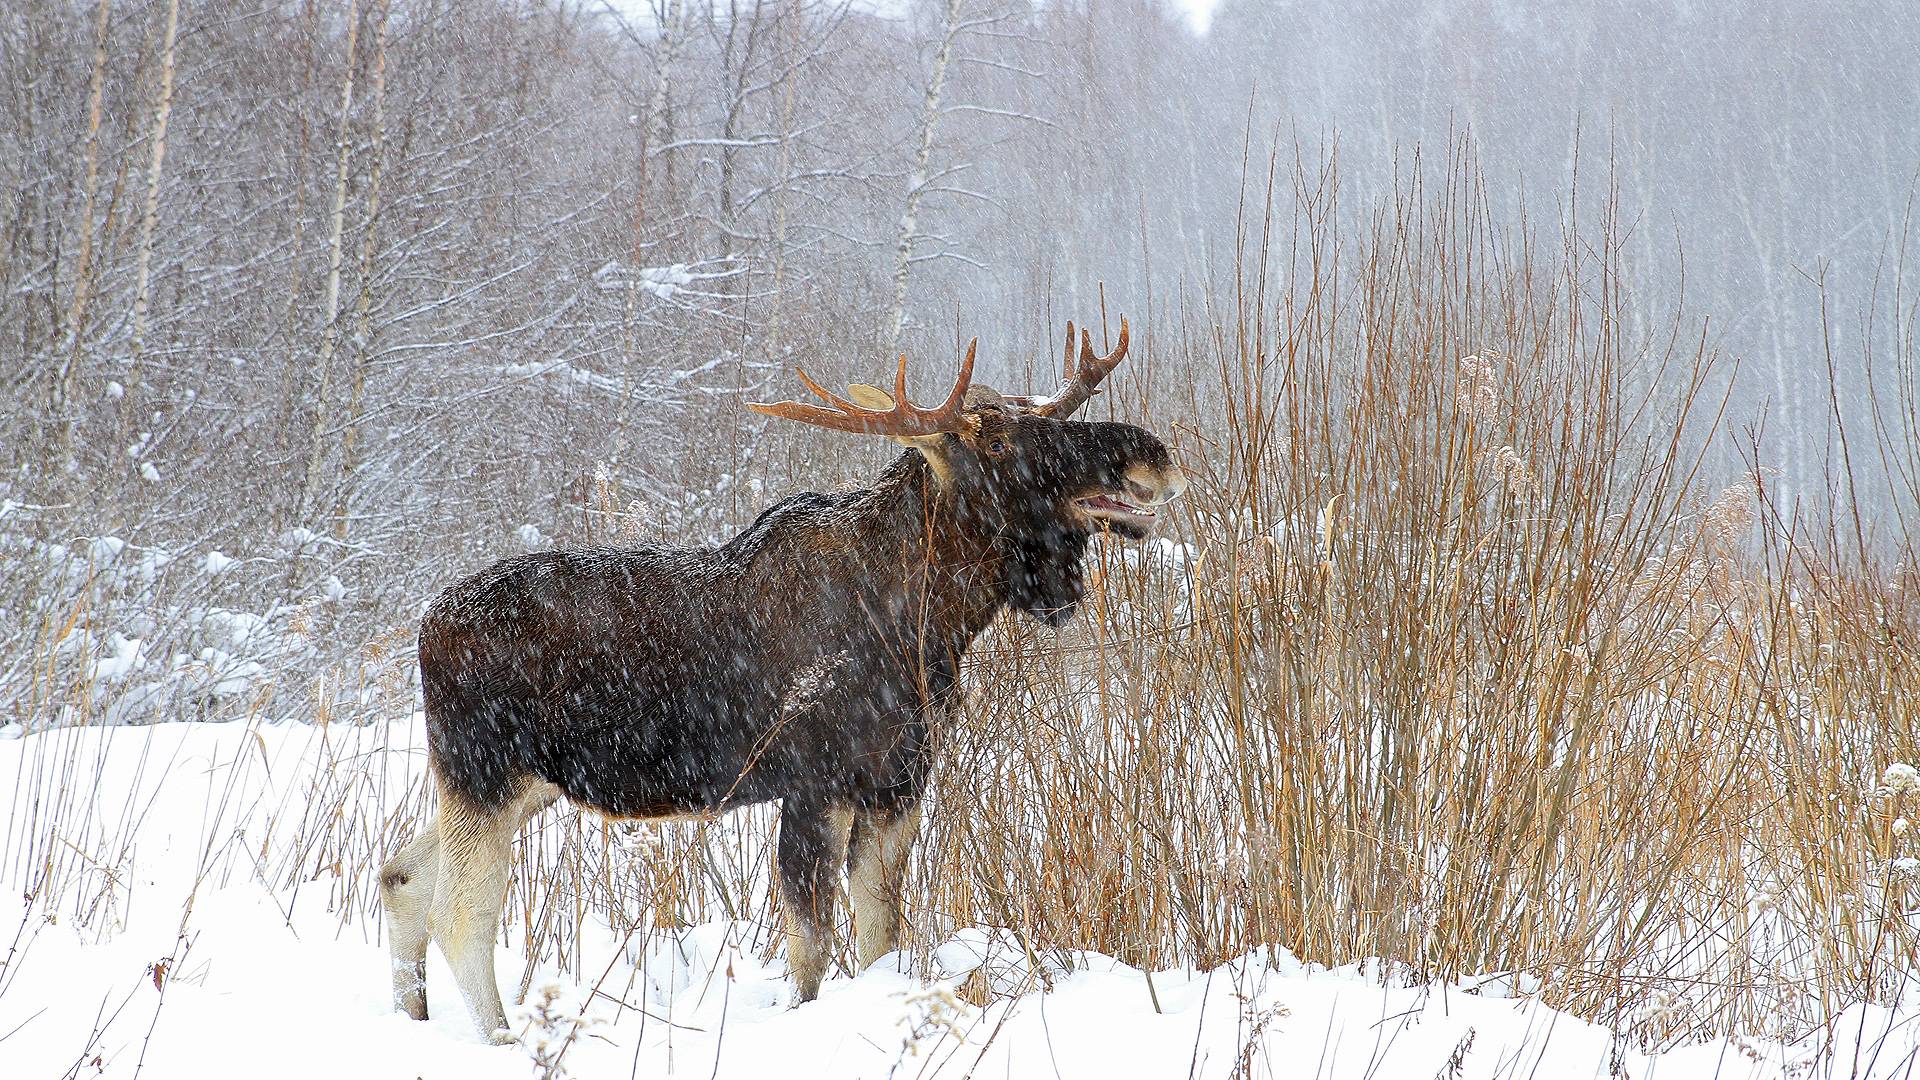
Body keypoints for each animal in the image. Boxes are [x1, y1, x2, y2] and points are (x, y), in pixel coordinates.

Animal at [378, 317, 1182, 1037]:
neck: (929, 621)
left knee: (400, 875)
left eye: (1045, 415)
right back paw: (502, 1039)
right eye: (996, 438)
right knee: (461, 914)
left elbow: (880, 931)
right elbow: (810, 948)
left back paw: (415, 1017)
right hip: (487, 771)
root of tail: (426, 628)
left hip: (510, 786)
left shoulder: (896, 783)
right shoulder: (814, 783)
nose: (1151, 453)